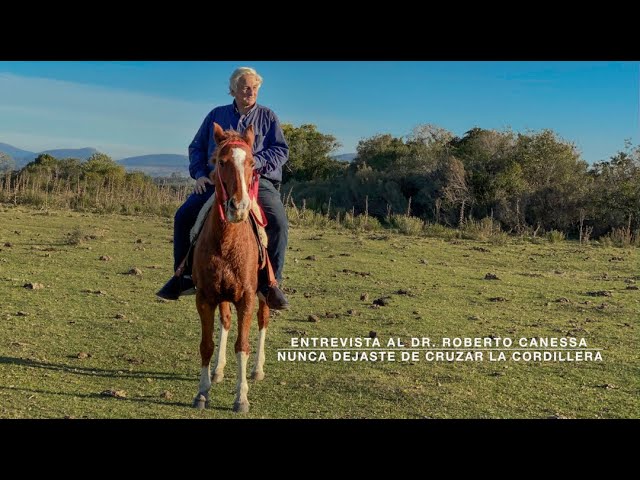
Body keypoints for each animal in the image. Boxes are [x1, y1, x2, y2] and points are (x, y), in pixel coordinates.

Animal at [190, 123, 270, 412]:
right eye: (221, 162)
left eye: (252, 163)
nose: (239, 206)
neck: (226, 241)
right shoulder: (205, 297)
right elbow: (206, 344)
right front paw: (202, 392)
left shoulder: (246, 297)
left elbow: (242, 345)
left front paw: (241, 397)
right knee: (224, 321)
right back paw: (218, 370)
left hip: (264, 292)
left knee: (263, 319)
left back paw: (257, 370)